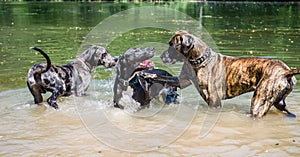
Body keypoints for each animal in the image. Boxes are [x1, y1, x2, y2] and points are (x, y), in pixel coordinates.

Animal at [162, 30, 300, 118]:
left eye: (172, 45)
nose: (161, 56)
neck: (198, 60)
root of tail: (286, 71)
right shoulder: (181, 80)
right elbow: (162, 78)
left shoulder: (215, 103)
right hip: (279, 103)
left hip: (258, 104)